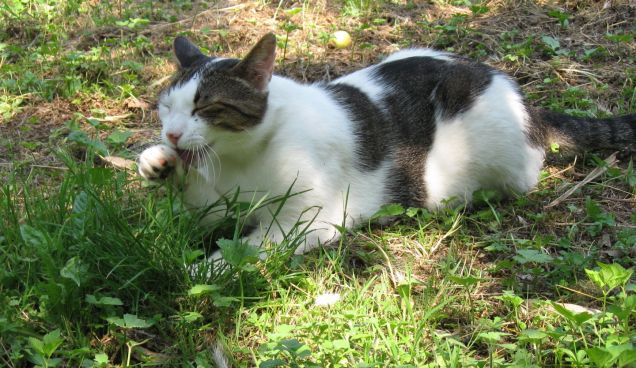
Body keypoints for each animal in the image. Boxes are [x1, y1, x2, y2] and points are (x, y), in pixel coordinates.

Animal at [138, 33, 632, 258]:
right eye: (165, 107)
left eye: (206, 106)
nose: (172, 134)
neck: (237, 161)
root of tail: (525, 102)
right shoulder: (213, 203)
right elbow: (192, 204)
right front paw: (157, 162)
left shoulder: (307, 221)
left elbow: (243, 250)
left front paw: (200, 270)